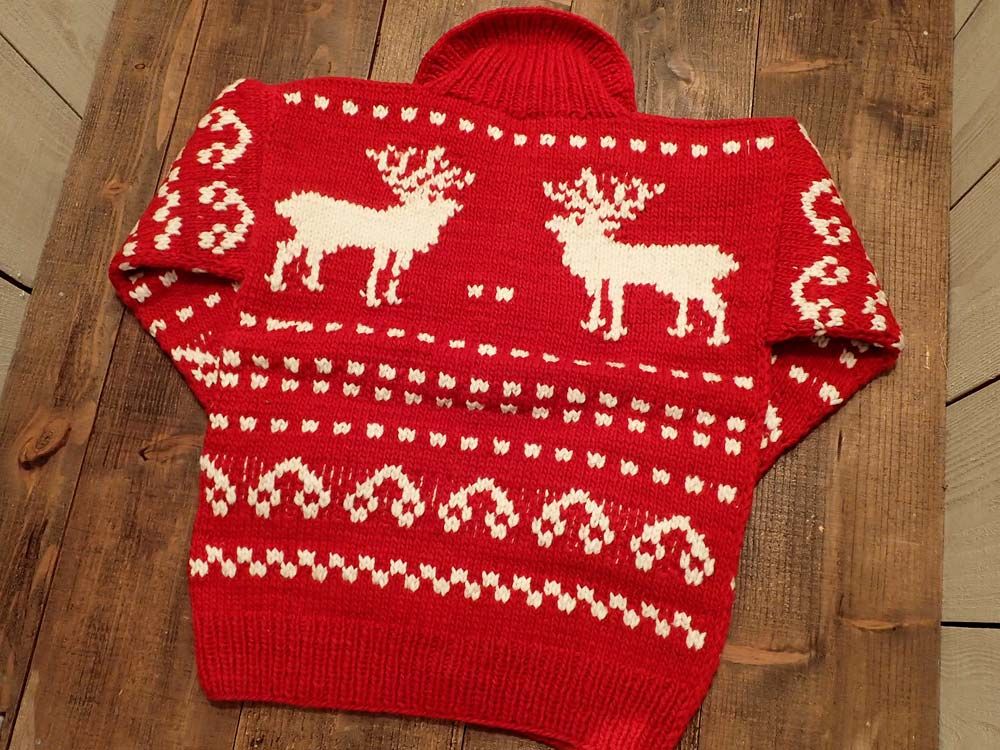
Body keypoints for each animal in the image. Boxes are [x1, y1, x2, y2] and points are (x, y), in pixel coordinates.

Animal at [268, 145, 475, 305]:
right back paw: (278, 281)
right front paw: (373, 298)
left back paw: (310, 284)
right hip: (307, 235)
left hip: (316, 239)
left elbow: (393, 274)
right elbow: (379, 271)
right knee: (286, 249)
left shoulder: (398, 250)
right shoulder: (385, 246)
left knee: (311, 258)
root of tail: (294, 202)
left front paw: (390, 297)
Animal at [542, 167, 739, 346]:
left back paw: (716, 337)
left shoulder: (615, 278)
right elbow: (600, 298)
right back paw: (681, 331)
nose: (554, 226)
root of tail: (718, 255)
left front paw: (613, 332)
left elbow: (615, 302)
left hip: (698, 285)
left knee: (719, 303)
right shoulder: (603, 277)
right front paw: (595, 324)